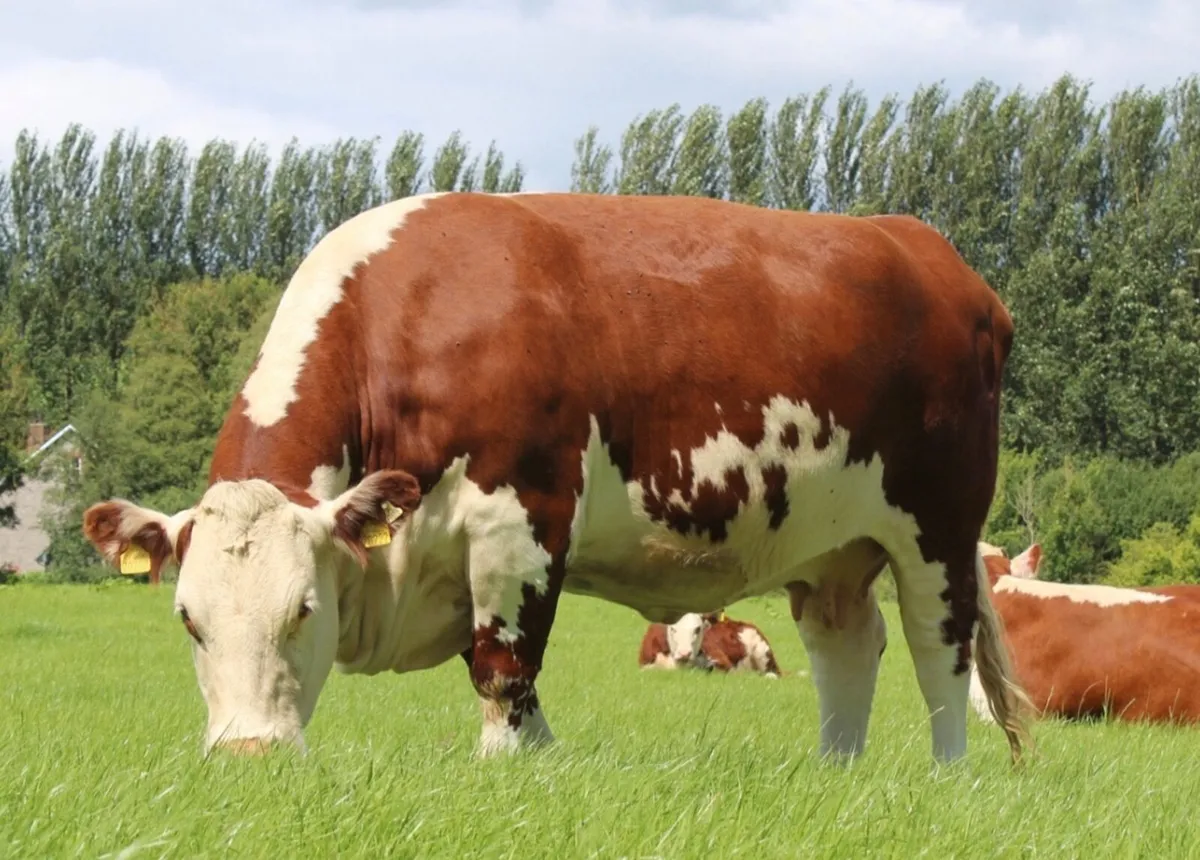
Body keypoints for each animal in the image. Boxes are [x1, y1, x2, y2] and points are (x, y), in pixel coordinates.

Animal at [80, 190, 1029, 765]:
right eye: (188, 619)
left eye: (304, 609)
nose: (251, 757)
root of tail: (928, 248)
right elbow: (514, 682)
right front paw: (539, 767)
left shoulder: (521, 522)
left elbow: (504, 666)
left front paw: (503, 773)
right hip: (831, 546)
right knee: (847, 646)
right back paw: (838, 769)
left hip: (940, 529)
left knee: (938, 652)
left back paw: (945, 774)